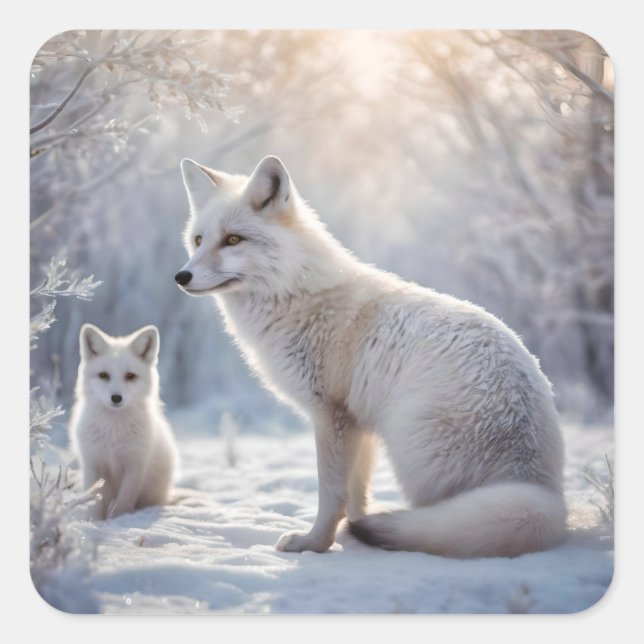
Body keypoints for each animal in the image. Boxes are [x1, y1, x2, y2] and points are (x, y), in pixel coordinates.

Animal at [69, 324, 178, 520]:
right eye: (103, 375)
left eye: (130, 376)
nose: (116, 398)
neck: (114, 432)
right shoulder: (92, 463)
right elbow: (95, 500)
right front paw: (93, 522)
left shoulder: (135, 465)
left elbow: (124, 502)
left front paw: (118, 520)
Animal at [175, 155, 566, 558]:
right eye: (199, 240)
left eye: (233, 239)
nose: (181, 276)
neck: (296, 294)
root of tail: (539, 489)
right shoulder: (357, 423)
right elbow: (356, 495)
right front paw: (352, 535)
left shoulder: (331, 416)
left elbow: (332, 494)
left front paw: (314, 544)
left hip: (411, 453)